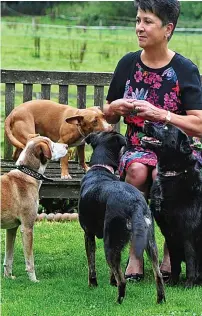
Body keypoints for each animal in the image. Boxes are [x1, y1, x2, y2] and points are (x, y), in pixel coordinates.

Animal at [0, 135, 68, 282]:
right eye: (52, 145)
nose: (66, 146)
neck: (28, 174)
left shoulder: (11, 229)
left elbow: (8, 257)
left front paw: (8, 277)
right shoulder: (27, 227)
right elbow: (30, 260)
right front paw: (34, 280)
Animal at [78, 130, 165, 304]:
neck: (100, 168)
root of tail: (135, 204)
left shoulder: (88, 234)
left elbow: (91, 264)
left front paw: (93, 285)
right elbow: (112, 272)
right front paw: (111, 282)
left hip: (110, 242)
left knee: (122, 280)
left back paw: (118, 302)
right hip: (150, 241)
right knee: (158, 275)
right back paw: (160, 301)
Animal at [142, 122, 202, 288]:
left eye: (166, 128)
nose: (146, 122)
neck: (172, 175)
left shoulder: (188, 232)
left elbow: (190, 261)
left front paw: (189, 283)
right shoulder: (168, 232)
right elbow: (174, 262)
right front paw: (172, 282)